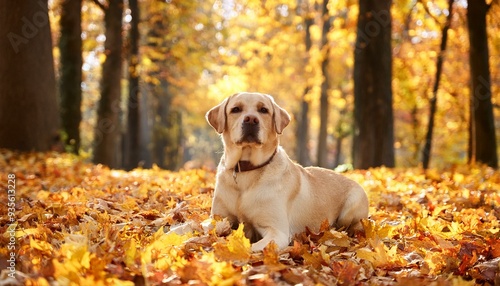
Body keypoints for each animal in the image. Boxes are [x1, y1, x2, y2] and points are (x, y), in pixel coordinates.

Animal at [205, 92, 370, 251]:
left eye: (263, 110)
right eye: (236, 109)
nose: (251, 119)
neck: (245, 171)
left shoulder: (277, 231)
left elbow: (253, 248)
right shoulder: (218, 218)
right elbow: (205, 227)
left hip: (351, 207)